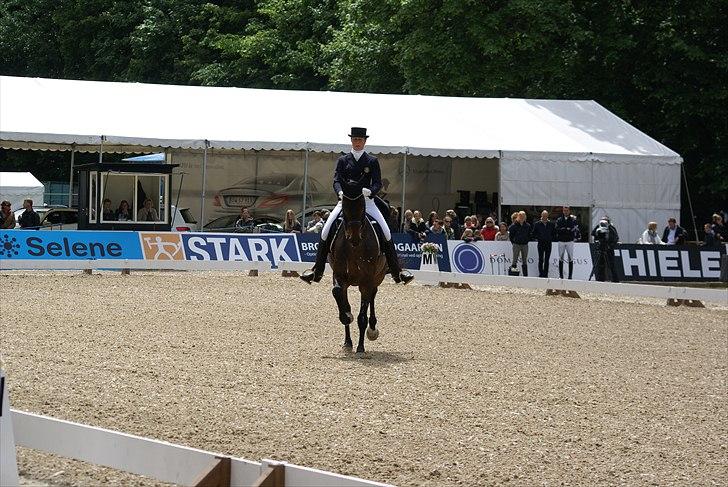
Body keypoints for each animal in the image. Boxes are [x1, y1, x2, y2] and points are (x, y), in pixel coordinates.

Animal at [328, 191, 386, 354]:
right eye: (345, 208)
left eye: (362, 208)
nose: (354, 237)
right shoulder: (339, 276)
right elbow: (338, 294)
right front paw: (347, 321)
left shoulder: (366, 282)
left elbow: (362, 316)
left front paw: (360, 347)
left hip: (377, 277)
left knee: (373, 296)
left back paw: (372, 329)